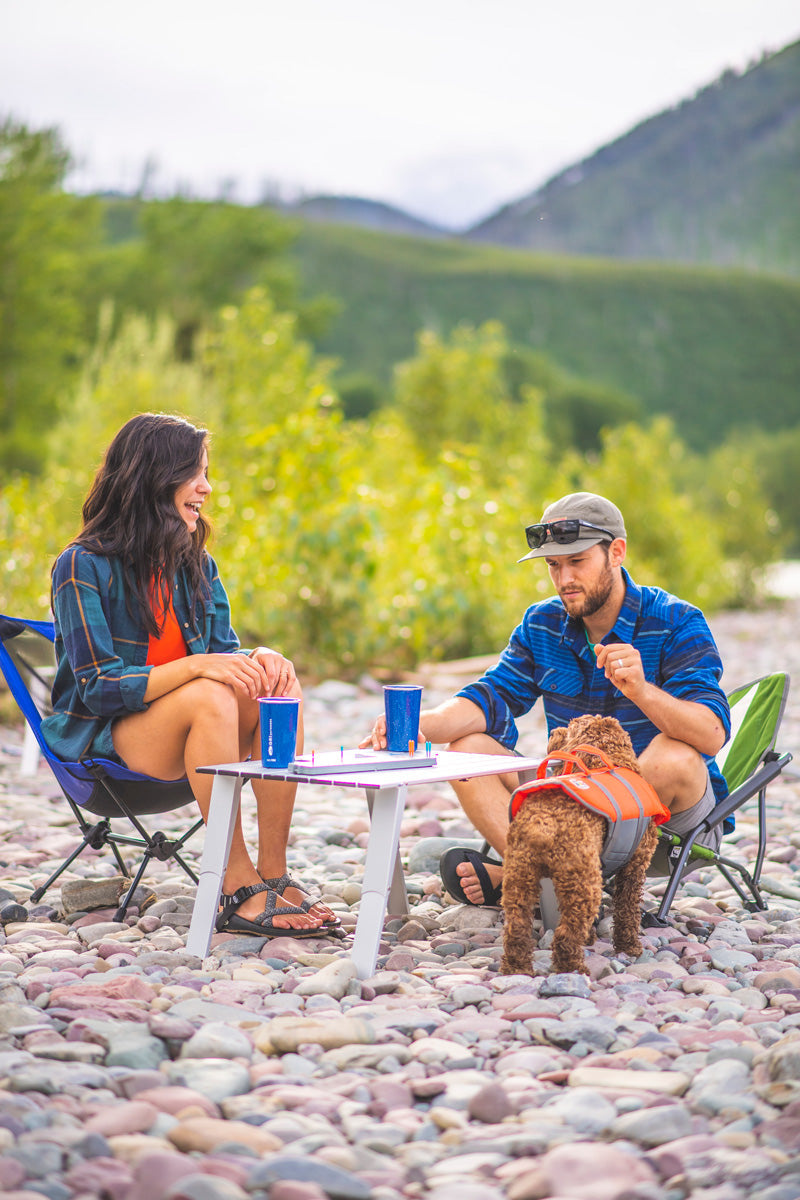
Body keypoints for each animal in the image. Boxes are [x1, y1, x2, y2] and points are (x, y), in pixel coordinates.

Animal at [503, 710, 662, 974]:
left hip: (519, 877)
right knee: (566, 934)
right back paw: (574, 969)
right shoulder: (635, 865)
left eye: (568, 728)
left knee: (516, 927)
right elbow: (627, 910)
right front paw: (630, 947)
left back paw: (517, 969)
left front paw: (591, 939)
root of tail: (542, 823)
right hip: (583, 884)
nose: (554, 732)